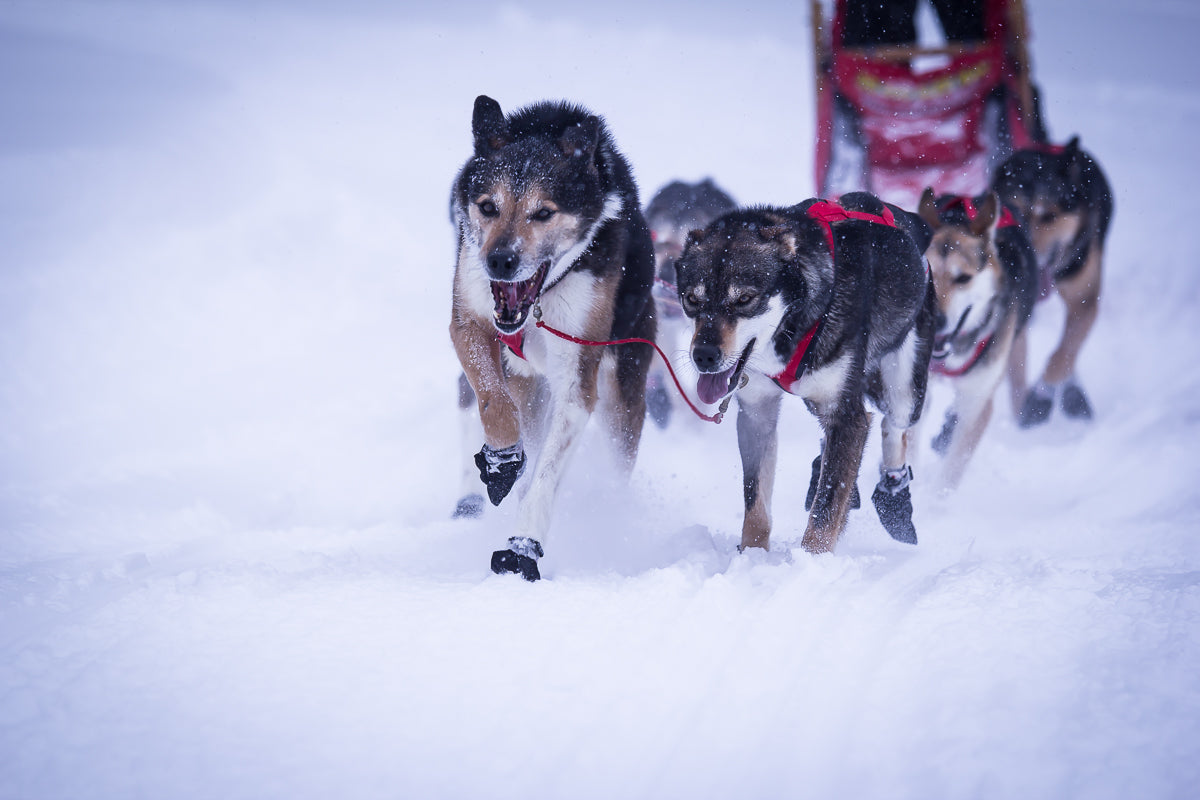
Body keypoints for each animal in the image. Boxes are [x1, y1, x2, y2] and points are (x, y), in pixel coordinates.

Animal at [451, 95, 657, 582]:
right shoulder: (468, 322)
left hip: (620, 392)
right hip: (529, 385)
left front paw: (523, 545)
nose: (500, 261)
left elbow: (543, 480)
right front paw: (502, 461)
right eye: (488, 206)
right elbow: (493, 403)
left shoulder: (577, 381)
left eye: (543, 212)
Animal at [988, 136, 1108, 424]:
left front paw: (1042, 394)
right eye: (1013, 210)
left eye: (1049, 216)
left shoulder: (1085, 300)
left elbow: (1064, 352)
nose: (1028, 254)